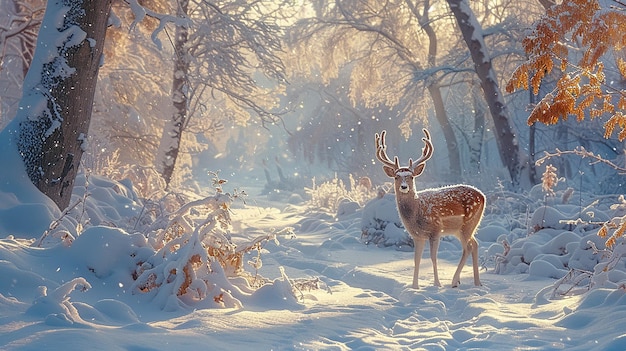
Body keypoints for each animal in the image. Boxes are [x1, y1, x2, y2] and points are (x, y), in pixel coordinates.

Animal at [372, 129, 486, 288]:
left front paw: (437, 284)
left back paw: (454, 281)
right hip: (461, 228)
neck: (417, 213)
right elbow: (416, 259)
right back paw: (476, 282)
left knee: (468, 247)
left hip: (468, 224)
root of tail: (483, 196)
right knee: (474, 244)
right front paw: (414, 286)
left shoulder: (435, 230)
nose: (404, 187)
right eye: (396, 177)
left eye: (411, 176)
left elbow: (433, 257)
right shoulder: (417, 236)